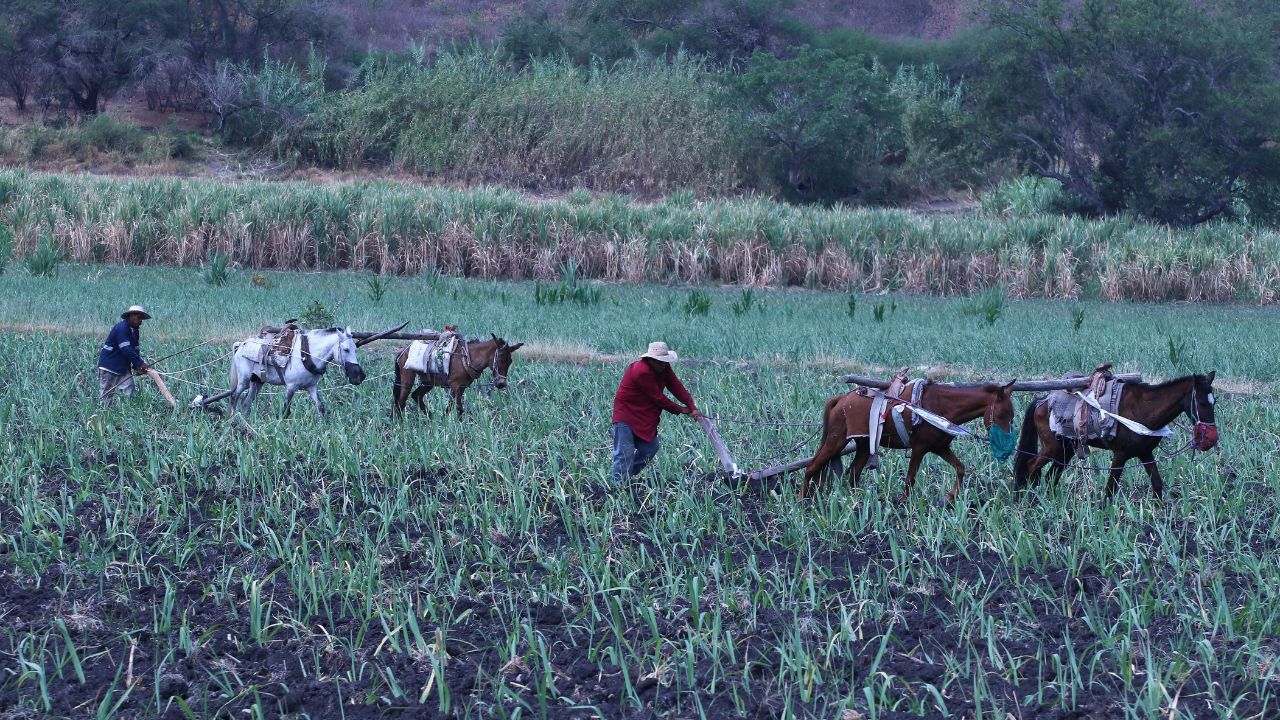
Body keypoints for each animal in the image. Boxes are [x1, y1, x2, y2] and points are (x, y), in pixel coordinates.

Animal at [394, 333, 524, 417]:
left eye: (510, 362)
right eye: (501, 359)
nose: (501, 384)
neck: (467, 357)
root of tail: (403, 351)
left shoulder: (461, 387)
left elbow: (453, 408)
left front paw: (444, 421)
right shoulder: (455, 386)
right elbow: (457, 408)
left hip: (428, 382)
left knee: (416, 396)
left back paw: (430, 418)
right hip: (407, 379)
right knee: (401, 402)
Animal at [798, 379, 1018, 502]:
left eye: (1012, 416)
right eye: (1002, 414)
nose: (1007, 449)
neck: (940, 408)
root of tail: (841, 400)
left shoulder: (940, 448)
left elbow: (961, 468)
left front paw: (950, 497)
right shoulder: (919, 448)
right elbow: (910, 479)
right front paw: (904, 504)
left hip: (863, 446)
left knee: (852, 474)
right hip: (836, 441)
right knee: (812, 467)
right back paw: (801, 500)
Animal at [1008, 371, 1218, 497]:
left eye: (1214, 401)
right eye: (1201, 402)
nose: (1211, 438)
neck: (1143, 411)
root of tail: (1043, 400)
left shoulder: (1145, 453)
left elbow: (1157, 485)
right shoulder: (1120, 455)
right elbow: (1110, 491)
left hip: (1066, 449)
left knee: (1051, 476)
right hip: (1051, 448)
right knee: (1030, 466)